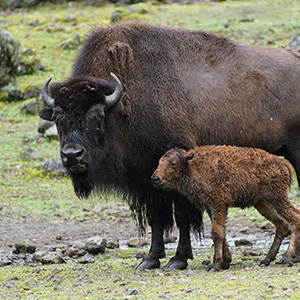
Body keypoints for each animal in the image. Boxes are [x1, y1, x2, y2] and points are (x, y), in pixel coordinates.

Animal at [151, 145, 300, 272]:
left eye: (173, 164)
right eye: (159, 162)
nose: (155, 178)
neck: (192, 166)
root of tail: (283, 163)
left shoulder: (219, 204)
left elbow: (216, 232)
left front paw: (216, 264)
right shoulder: (210, 207)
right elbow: (221, 232)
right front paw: (225, 261)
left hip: (277, 198)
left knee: (294, 217)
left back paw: (287, 258)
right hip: (262, 203)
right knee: (282, 223)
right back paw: (267, 259)